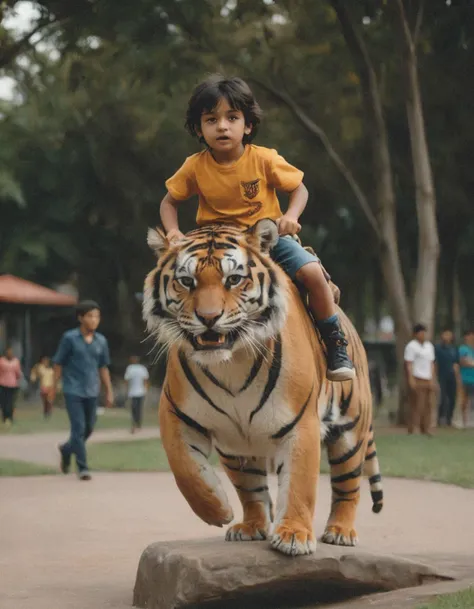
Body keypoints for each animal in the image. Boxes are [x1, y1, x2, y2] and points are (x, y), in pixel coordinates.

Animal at [143, 218, 384, 556]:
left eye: (233, 279)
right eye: (187, 281)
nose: (208, 318)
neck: (231, 362)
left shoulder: (301, 422)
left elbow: (300, 484)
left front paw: (294, 535)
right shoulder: (174, 412)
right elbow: (185, 470)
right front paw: (217, 510)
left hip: (350, 431)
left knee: (348, 486)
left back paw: (340, 531)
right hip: (236, 446)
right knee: (251, 489)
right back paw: (251, 526)